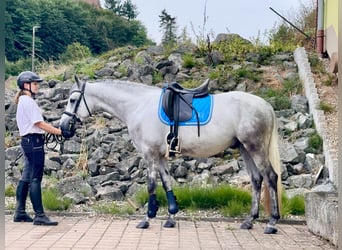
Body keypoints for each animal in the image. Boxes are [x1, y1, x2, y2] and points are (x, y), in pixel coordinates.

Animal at [60, 77, 282, 233]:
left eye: (72, 100)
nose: (63, 127)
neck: (137, 106)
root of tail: (266, 106)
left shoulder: (150, 154)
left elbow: (151, 185)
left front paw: (147, 219)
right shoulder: (160, 156)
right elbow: (167, 182)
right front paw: (171, 217)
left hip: (255, 147)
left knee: (270, 176)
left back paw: (272, 223)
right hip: (245, 148)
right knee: (256, 179)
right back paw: (249, 220)